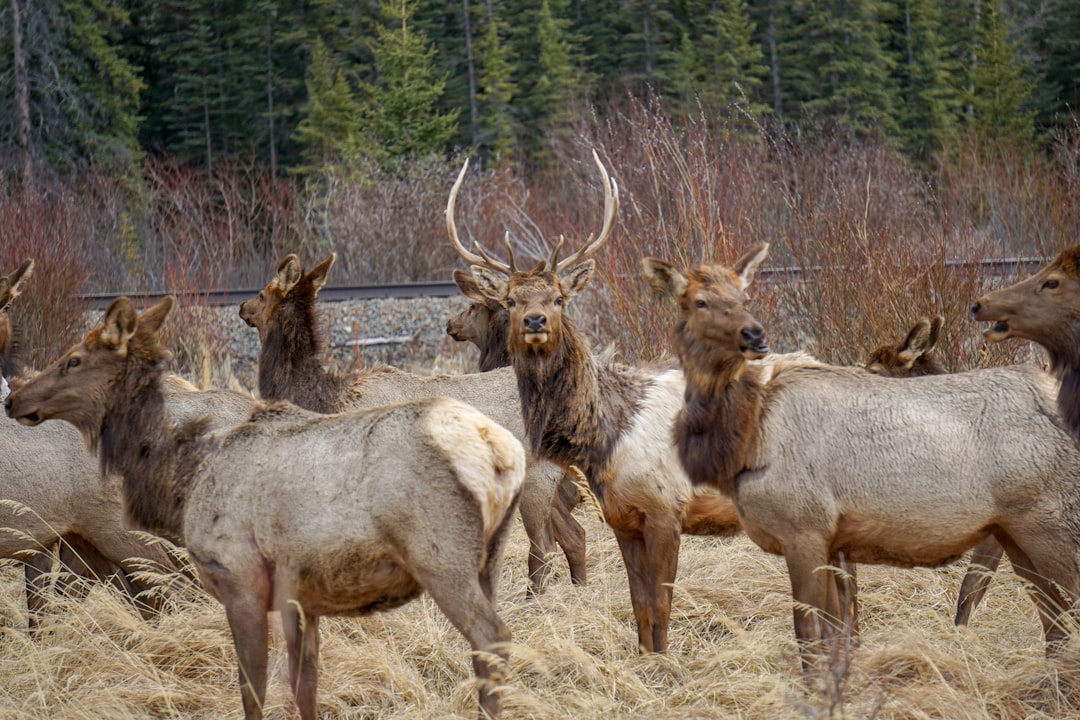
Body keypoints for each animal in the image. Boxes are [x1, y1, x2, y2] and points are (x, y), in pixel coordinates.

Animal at [4, 293, 527, 720]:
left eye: (73, 360)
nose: (14, 398)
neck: (184, 477)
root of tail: (503, 452)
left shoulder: (241, 580)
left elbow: (252, 687)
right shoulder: (302, 597)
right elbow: (304, 687)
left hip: (441, 556)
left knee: (493, 637)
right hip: (489, 560)